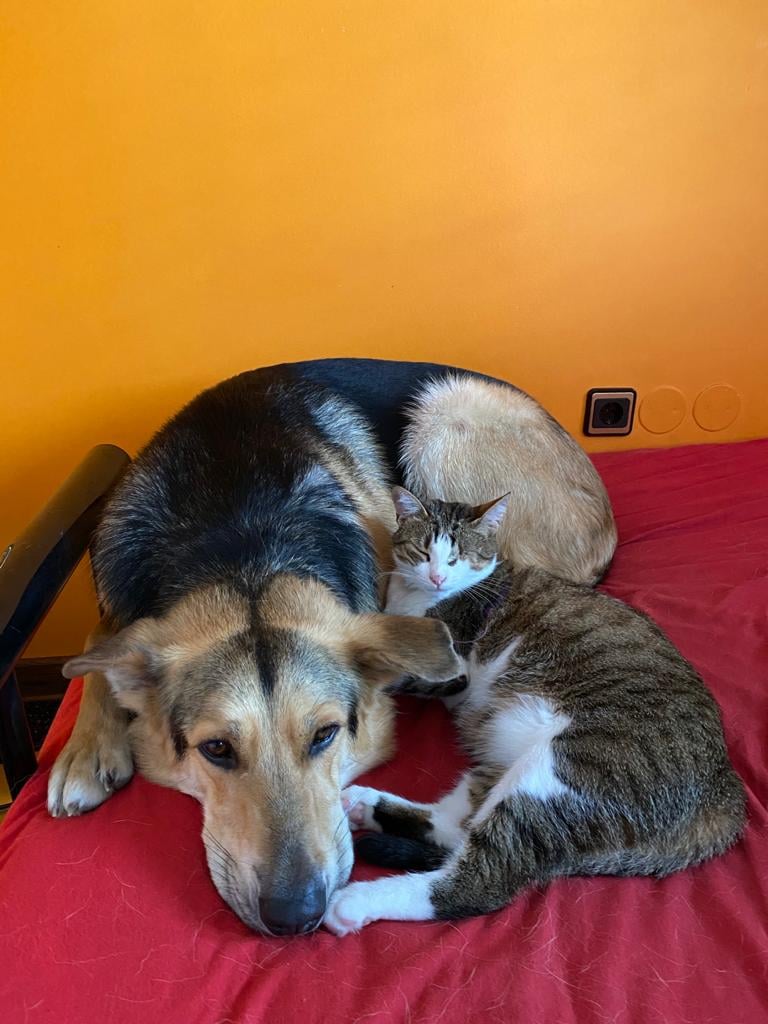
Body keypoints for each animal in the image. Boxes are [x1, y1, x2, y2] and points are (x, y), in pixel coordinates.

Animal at [323, 491, 745, 933]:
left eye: (458, 558)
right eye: (424, 552)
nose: (438, 577)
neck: (416, 599)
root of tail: (723, 790)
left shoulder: (453, 670)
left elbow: (396, 671)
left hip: (565, 766)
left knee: (479, 879)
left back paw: (355, 901)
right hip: (508, 758)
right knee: (461, 823)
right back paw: (365, 805)